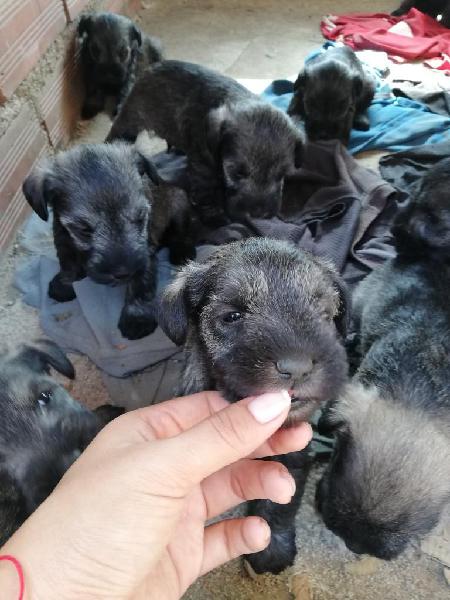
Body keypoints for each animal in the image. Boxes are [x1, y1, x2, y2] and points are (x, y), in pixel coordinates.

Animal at [22, 144, 195, 342]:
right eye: (84, 229)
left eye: (140, 217)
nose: (123, 273)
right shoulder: (63, 240)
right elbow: (68, 264)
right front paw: (64, 284)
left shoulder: (146, 255)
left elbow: (140, 285)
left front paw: (137, 318)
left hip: (179, 204)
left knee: (183, 233)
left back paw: (182, 251)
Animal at [106, 60, 302, 225]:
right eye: (237, 173)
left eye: (281, 175)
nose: (259, 215)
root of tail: (151, 67)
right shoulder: (203, 168)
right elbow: (206, 192)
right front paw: (215, 216)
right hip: (131, 117)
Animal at [157, 237, 348, 576]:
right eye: (232, 316)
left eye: (325, 313)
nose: (297, 368)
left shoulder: (292, 457)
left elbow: (279, 503)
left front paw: (272, 550)